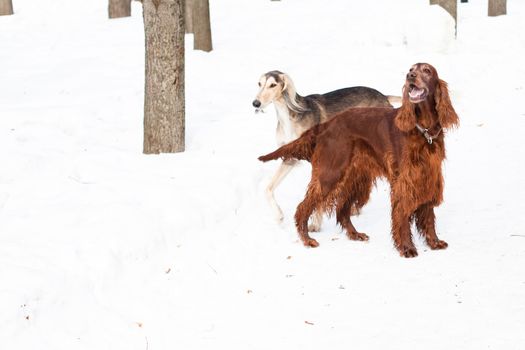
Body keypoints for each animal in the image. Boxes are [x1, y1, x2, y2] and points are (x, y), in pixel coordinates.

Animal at [258, 64, 458, 258]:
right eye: (411, 69)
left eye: (426, 70)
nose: (410, 77)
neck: (423, 130)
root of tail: (326, 125)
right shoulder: (404, 181)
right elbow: (402, 215)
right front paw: (407, 248)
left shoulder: (429, 176)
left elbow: (428, 215)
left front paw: (434, 242)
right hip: (330, 173)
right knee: (303, 207)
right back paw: (307, 240)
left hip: (356, 177)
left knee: (341, 209)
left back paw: (354, 234)